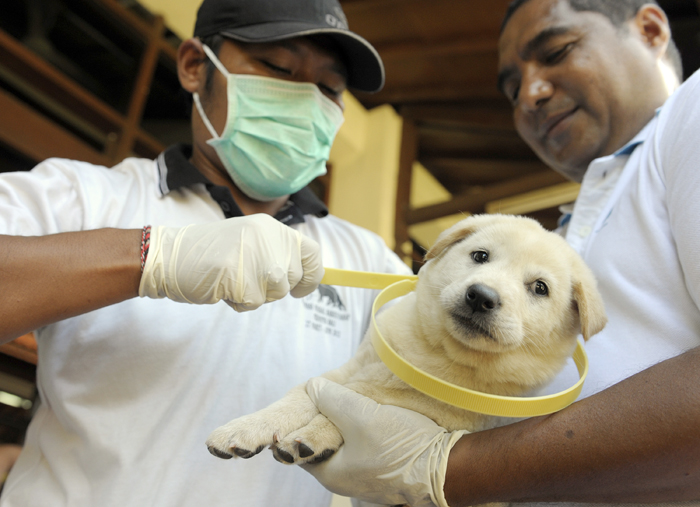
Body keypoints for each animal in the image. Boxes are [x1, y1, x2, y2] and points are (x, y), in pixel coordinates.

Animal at [205, 215, 604, 480]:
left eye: (540, 288)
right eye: (480, 256)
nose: (481, 296)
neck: (436, 356)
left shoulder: (455, 416)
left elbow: (374, 399)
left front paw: (314, 434)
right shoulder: (345, 370)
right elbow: (297, 397)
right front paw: (243, 429)